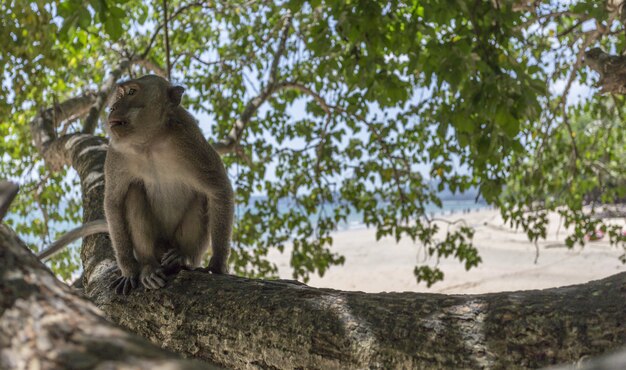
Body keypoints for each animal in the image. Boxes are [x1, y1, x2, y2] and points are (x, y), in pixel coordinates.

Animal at [103, 75, 233, 294]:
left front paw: (217, 264)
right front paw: (129, 270)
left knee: (201, 197)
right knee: (134, 193)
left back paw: (181, 257)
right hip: (158, 246)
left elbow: (218, 189)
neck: (150, 141)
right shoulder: (116, 154)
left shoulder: (189, 139)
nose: (113, 107)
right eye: (119, 95)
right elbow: (114, 201)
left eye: (131, 92)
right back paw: (149, 267)